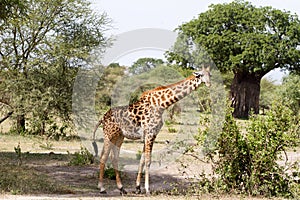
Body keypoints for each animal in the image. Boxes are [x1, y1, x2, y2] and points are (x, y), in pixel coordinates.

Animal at [94, 67, 211, 195]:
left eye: (210, 74)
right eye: (200, 75)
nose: (209, 84)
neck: (162, 104)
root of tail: (102, 118)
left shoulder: (147, 135)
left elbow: (142, 160)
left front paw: (138, 188)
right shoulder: (151, 133)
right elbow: (148, 161)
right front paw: (147, 189)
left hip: (119, 136)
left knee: (114, 158)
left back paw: (122, 188)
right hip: (109, 135)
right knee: (103, 157)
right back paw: (101, 188)